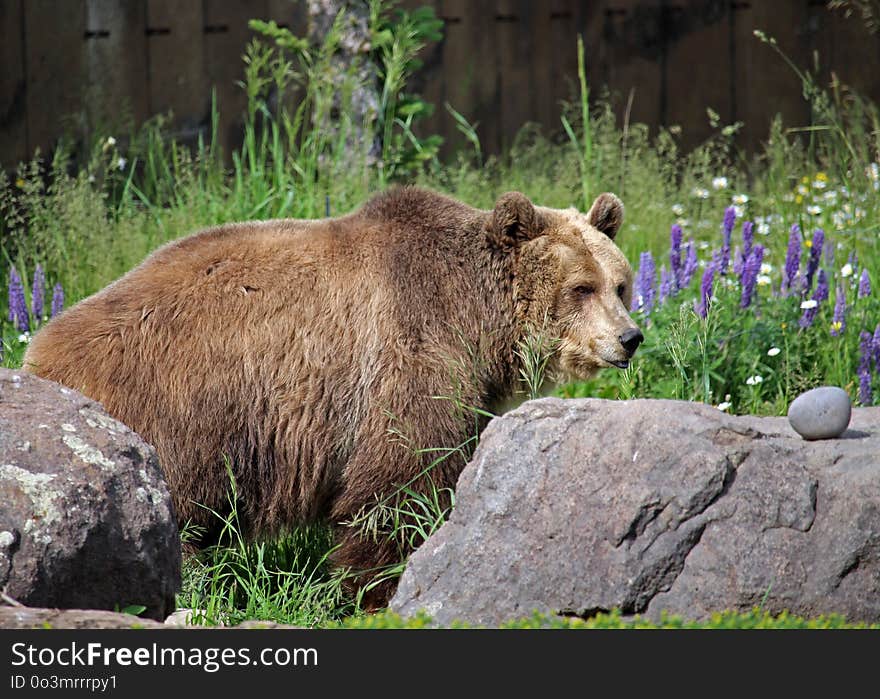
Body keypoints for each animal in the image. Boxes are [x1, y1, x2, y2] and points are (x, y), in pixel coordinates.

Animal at [20, 187, 640, 608]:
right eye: (580, 288)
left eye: (620, 284)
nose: (629, 338)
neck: (479, 321)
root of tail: (37, 354)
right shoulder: (408, 356)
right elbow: (396, 490)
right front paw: (375, 589)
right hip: (175, 416)